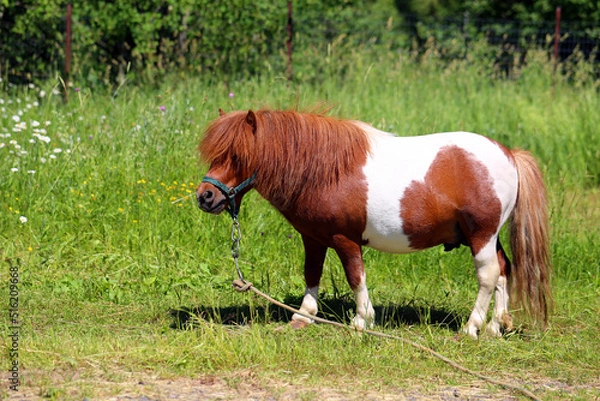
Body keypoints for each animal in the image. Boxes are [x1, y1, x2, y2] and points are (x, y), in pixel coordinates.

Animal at [195, 108, 552, 336]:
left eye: (238, 155)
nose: (205, 197)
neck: (324, 171)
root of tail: (509, 154)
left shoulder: (345, 239)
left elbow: (356, 277)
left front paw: (361, 321)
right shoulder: (314, 238)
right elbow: (312, 273)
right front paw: (303, 317)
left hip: (481, 235)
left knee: (488, 276)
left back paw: (472, 327)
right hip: (486, 237)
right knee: (504, 271)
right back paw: (495, 326)